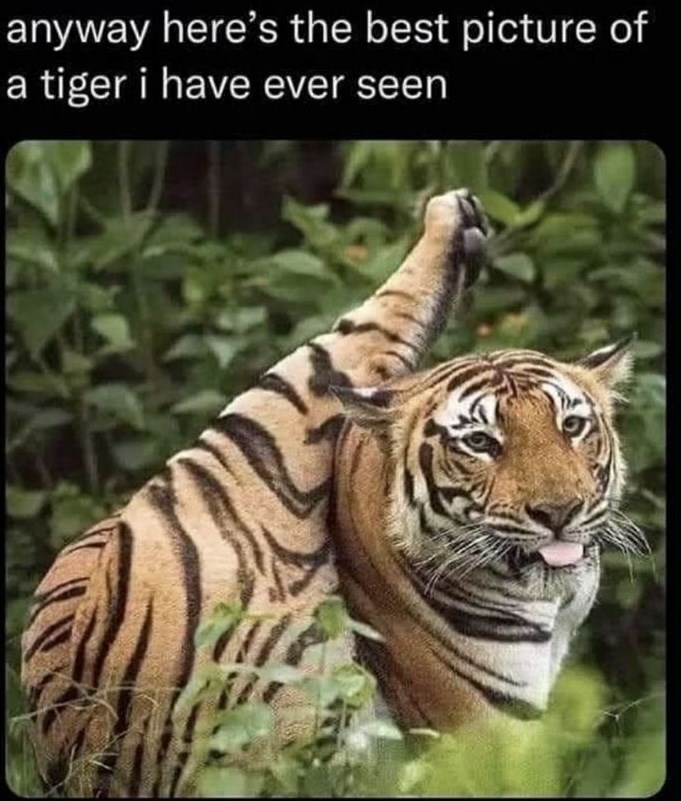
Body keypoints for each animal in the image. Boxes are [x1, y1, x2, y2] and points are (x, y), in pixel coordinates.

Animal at [20, 188, 643, 797]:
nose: (559, 511)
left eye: (572, 426)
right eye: (480, 442)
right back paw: (450, 216)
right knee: (342, 345)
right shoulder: (481, 739)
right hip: (263, 435)